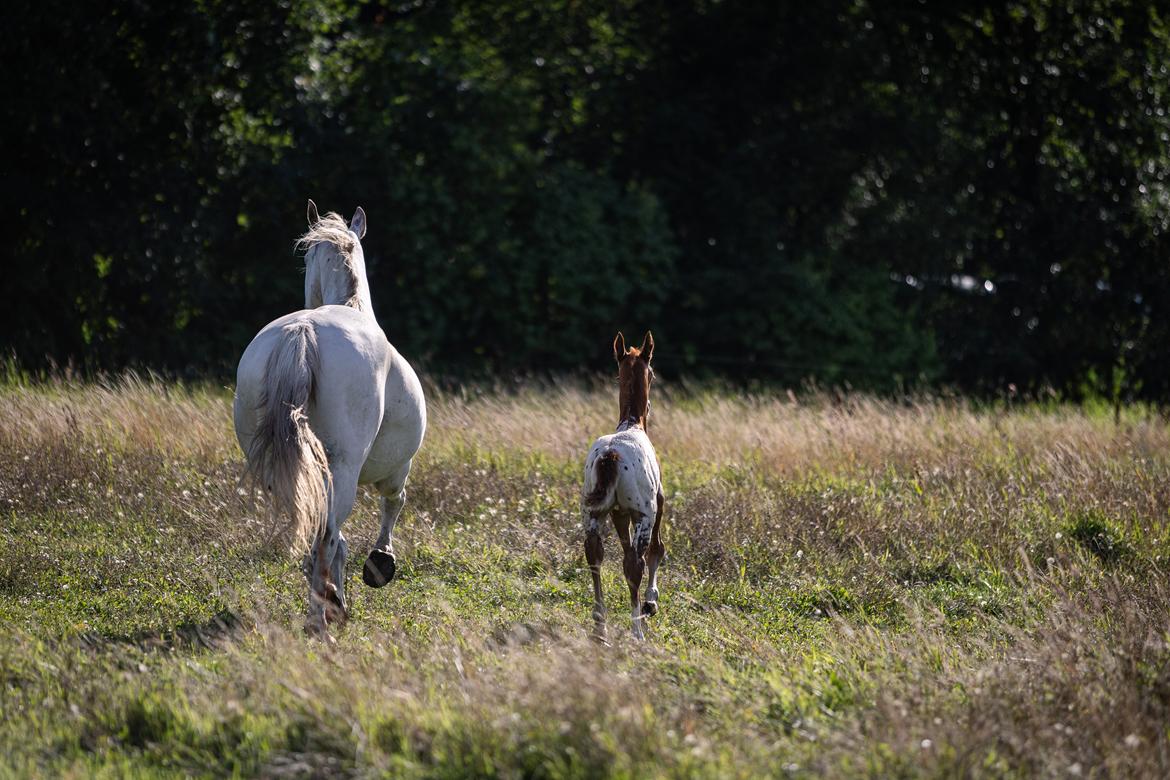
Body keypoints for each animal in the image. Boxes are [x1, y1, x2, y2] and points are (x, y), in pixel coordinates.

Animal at [231, 201, 425, 640]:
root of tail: (303, 331)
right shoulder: (397, 469)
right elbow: (393, 504)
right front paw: (380, 563)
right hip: (344, 468)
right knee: (328, 536)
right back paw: (323, 616)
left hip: (280, 467)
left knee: (312, 527)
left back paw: (322, 605)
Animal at [580, 332, 664, 645]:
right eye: (652, 373)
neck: (631, 424)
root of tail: (611, 455)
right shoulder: (656, 504)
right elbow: (656, 550)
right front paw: (650, 602)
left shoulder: (618, 513)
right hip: (643, 514)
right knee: (635, 563)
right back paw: (636, 630)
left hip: (593, 514)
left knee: (595, 555)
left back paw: (600, 627)